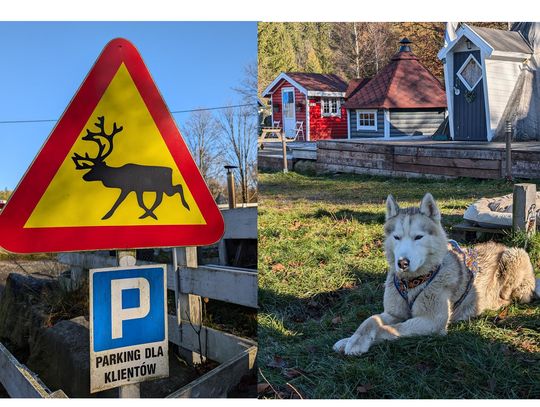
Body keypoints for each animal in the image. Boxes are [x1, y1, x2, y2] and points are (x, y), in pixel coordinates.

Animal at [334, 194, 540, 356]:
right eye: (397, 237)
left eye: (418, 237)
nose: (402, 263)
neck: (412, 282)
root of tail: (502, 245)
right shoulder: (393, 313)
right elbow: (370, 320)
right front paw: (351, 339)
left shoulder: (431, 321)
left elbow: (390, 329)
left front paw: (363, 340)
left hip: (513, 256)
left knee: (511, 297)